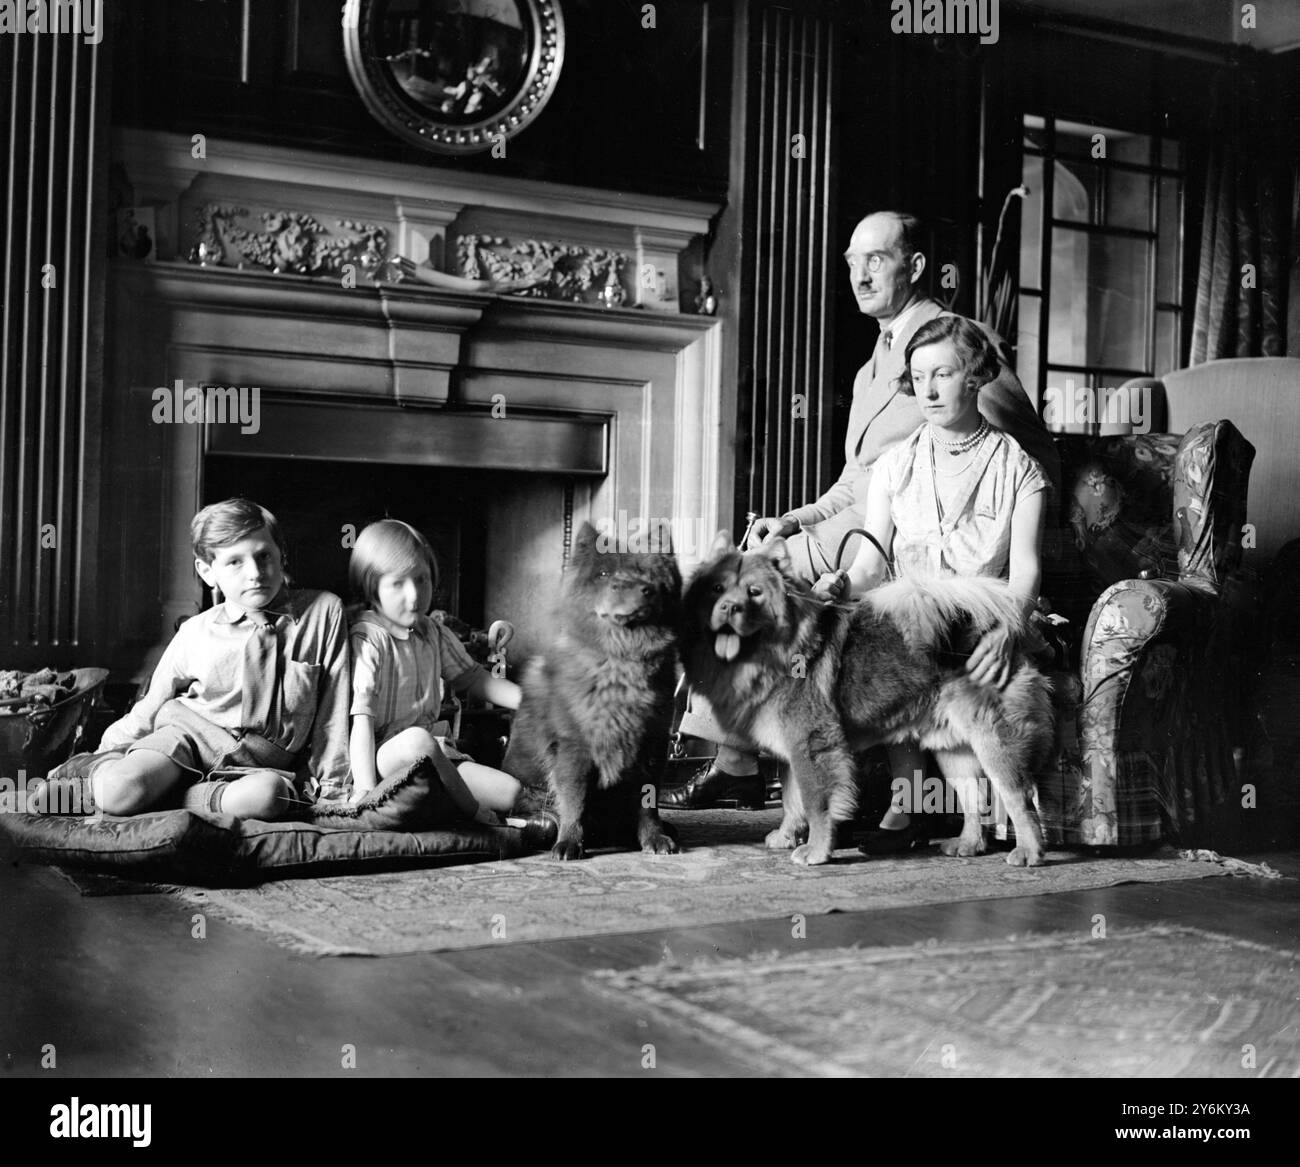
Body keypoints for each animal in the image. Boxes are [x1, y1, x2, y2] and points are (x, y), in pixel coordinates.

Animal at [499, 519, 686, 852]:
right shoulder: (574, 746)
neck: (622, 662)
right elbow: (574, 800)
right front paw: (569, 843)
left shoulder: (652, 744)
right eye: (604, 575)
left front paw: (654, 838)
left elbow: (648, 803)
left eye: (647, 574)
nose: (639, 589)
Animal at [681, 535, 1055, 862]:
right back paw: (968, 844)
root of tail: (1000, 633)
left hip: (994, 742)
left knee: (1019, 798)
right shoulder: (790, 750)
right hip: (953, 748)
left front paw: (815, 851)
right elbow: (791, 799)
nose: (728, 607)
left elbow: (816, 803)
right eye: (717, 589)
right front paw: (786, 837)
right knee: (973, 798)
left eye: (754, 593)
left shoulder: (812, 745)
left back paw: (1028, 853)